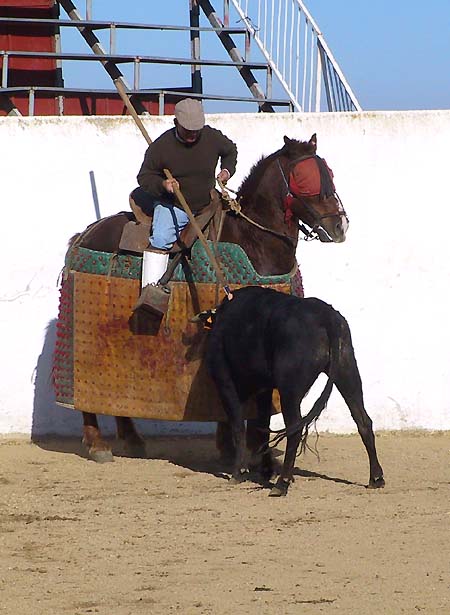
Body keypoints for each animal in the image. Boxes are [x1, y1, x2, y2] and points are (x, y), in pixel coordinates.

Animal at [57, 133, 349, 463]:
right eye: (304, 178)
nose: (340, 226)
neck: (253, 240)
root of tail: (84, 235)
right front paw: (236, 446)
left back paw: (131, 438)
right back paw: (97, 443)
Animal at [204, 286, 385, 496]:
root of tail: (326, 315)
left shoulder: (226, 383)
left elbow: (239, 426)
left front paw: (239, 472)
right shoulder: (265, 389)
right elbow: (262, 427)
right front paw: (265, 470)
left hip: (289, 391)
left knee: (294, 429)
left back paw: (282, 483)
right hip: (347, 372)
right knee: (363, 420)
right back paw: (376, 478)